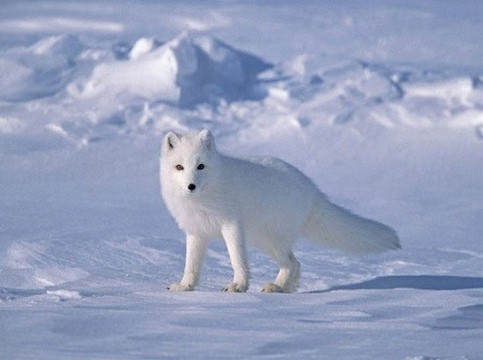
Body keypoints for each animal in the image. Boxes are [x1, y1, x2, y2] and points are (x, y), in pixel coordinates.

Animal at [161, 129, 402, 292]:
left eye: (201, 166)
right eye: (179, 167)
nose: (191, 186)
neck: (204, 197)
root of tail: (312, 188)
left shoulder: (231, 225)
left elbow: (237, 259)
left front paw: (238, 285)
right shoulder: (196, 232)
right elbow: (191, 264)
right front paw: (185, 286)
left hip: (270, 238)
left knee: (292, 262)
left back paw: (277, 287)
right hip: (263, 240)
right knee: (295, 263)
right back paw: (284, 288)